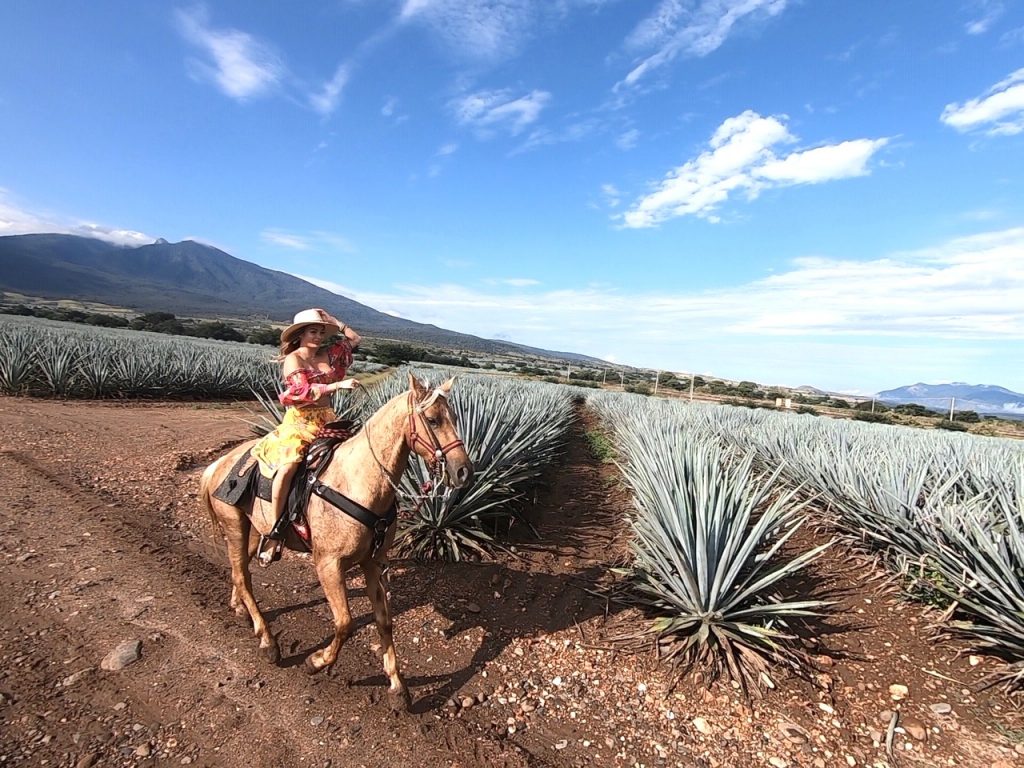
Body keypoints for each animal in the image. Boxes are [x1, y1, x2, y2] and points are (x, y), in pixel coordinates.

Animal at [199, 373, 473, 709]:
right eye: (433, 420)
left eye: (455, 418)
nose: (464, 472)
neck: (358, 481)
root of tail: (220, 463)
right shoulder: (328, 564)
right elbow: (345, 623)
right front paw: (317, 661)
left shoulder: (374, 563)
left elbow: (384, 622)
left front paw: (397, 687)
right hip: (235, 526)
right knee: (242, 575)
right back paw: (267, 641)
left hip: (252, 531)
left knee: (239, 572)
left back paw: (240, 608)